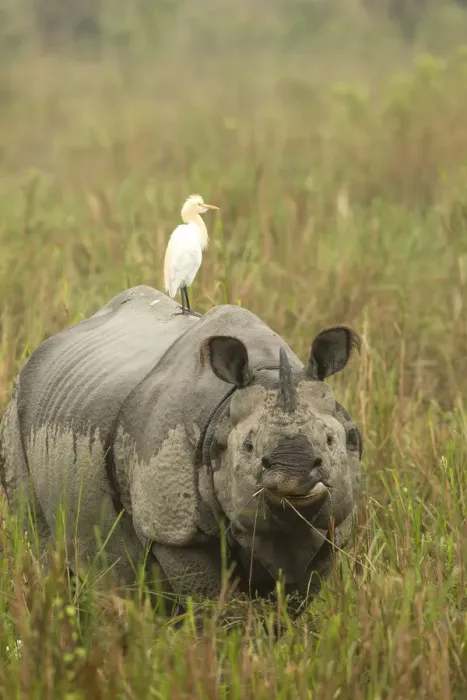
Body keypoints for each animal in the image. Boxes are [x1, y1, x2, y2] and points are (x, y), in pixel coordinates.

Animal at [0, 286, 362, 602]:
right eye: (248, 447)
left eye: (332, 441)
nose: (293, 476)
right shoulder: (172, 532)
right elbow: (211, 602)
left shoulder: (333, 529)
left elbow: (296, 600)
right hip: (15, 415)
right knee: (42, 542)